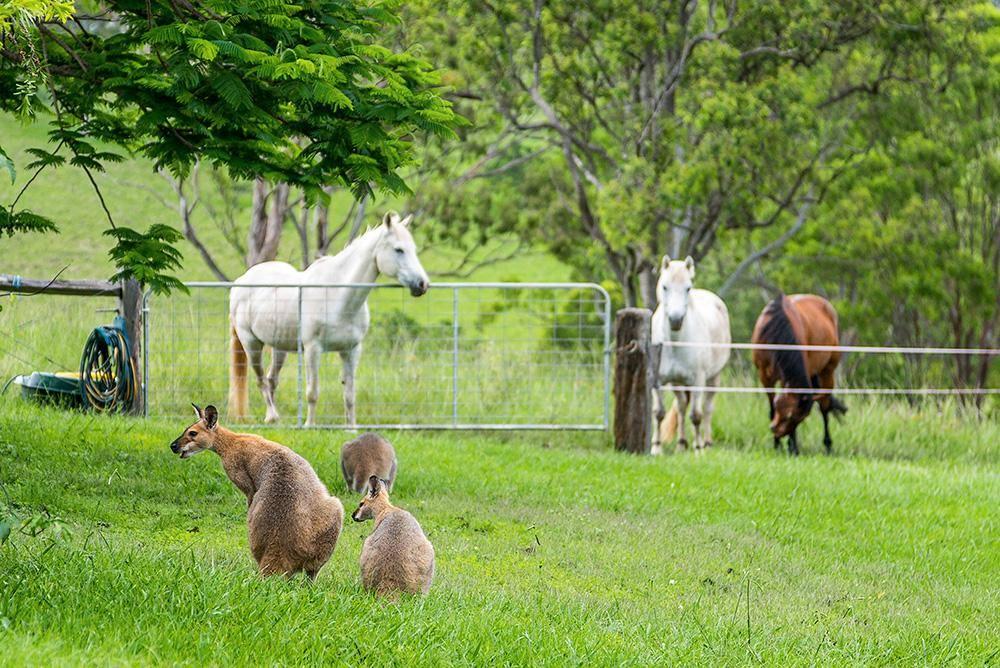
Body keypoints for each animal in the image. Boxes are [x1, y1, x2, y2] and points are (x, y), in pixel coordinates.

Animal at [227, 211, 430, 426]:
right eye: (398, 250)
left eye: (413, 249)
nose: (422, 284)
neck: (338, 296)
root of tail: (241, 280)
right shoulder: (312, 349)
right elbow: (312, 392)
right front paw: (309, 425)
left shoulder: (351, 351)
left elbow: (349, 393)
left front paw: (351, 427)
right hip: (251, 344)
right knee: (261, 380)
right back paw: (273, 416)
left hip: (279, 347)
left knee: (272, 379)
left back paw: (271, 419)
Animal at [652, 254, 732, 454]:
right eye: (664, 286)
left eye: (688, 288)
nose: (675, 320)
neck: (675, 343)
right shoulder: (656, 380)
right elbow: (659, 413)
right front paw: (656, 449)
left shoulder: (698, 381)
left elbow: (696, 415)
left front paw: (698, 450)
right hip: (677, 382)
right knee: (681, 407)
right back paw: (681, 444)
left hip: (713, 378)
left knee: (707, 409)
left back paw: (707, 444)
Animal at [752, 294, 844, 456]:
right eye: (790, 416)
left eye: (797, 418)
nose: (776, 431)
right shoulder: (765, 376)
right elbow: (771, 408)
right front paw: (777, 445)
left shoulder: (786, 378)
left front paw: (792, 447)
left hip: (827, 372)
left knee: (824, 407)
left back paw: (828, 445)